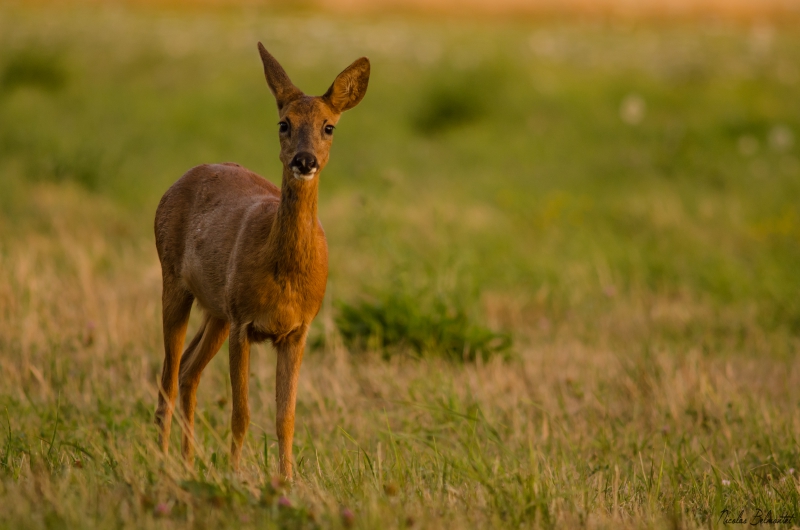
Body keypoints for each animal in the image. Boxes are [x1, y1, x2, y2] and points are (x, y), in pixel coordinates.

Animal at [152, 42, 368, 478]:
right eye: (284, 123)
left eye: (329, 127)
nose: (305, 160)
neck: (283, 273)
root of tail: (177, 182)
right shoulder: (244, 322)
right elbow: (242, 413)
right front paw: (235, 475)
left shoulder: (297, 330)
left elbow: (286, 417)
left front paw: (286, 481)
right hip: (175, 282)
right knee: (167, 375)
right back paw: (164, 464)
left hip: (216, 310)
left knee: (187, 371)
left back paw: (186, 463)